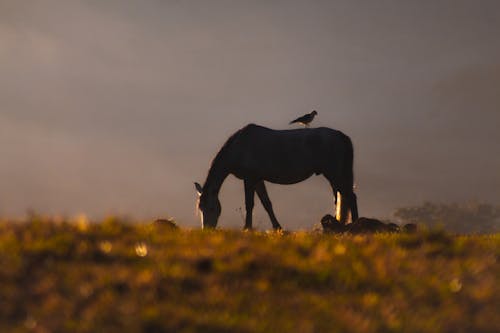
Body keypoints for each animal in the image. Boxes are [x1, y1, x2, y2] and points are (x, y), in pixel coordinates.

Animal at [193, 123, 358, 230]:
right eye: (200, 208)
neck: (239, 147)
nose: (207, 230)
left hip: (334, 173)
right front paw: (277, 227)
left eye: (212, 208)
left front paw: (247, 228)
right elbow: (267, 203)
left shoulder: (249, 179)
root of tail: (341, 136)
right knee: (339, 197)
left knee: (350, 196)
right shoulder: (258, 180)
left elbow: (249, 204)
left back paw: (357, 225)